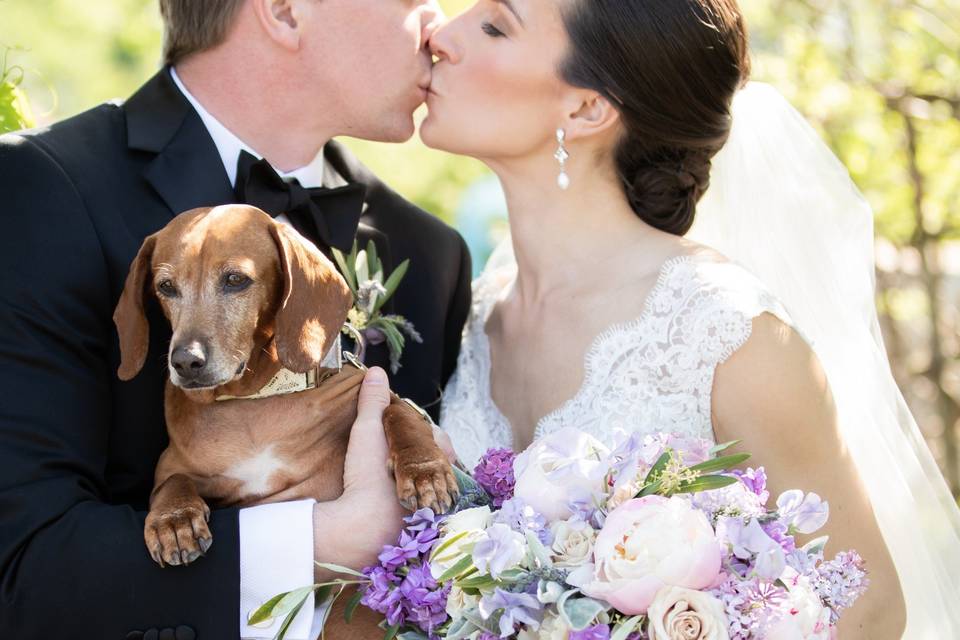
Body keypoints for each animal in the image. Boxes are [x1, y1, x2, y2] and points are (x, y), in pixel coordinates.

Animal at [112, 205, 458, 632]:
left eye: (235, 280)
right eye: (166, 286)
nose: (185, 362)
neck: (257, 397)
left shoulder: (379, 395)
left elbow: (398, 412)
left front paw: (424, 471)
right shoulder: (174, 465)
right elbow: (172, 481)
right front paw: (173, 521)